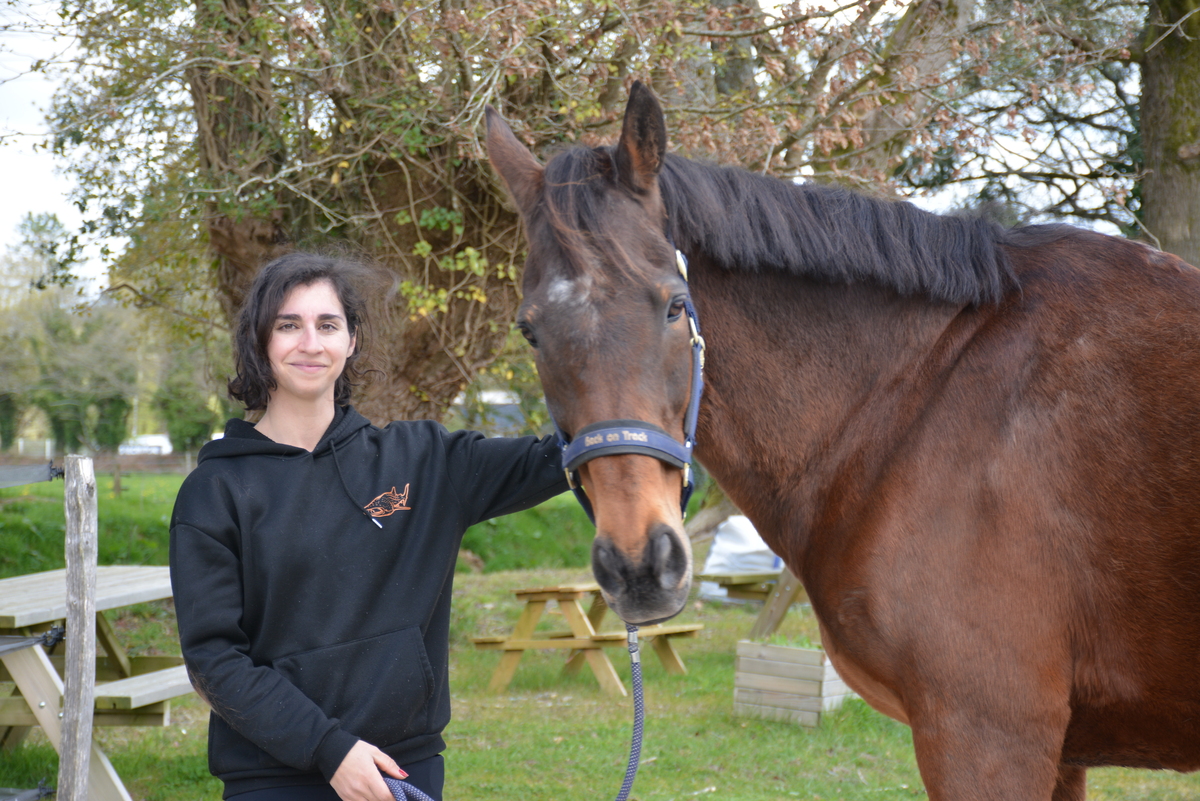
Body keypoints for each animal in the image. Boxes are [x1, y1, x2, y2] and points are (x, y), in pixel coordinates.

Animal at [484, 81, 1200, 800]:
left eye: (673, 306)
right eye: (529, 331)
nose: (638, 565)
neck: (923, 395)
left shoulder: (989, 736)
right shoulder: (1055, 752)